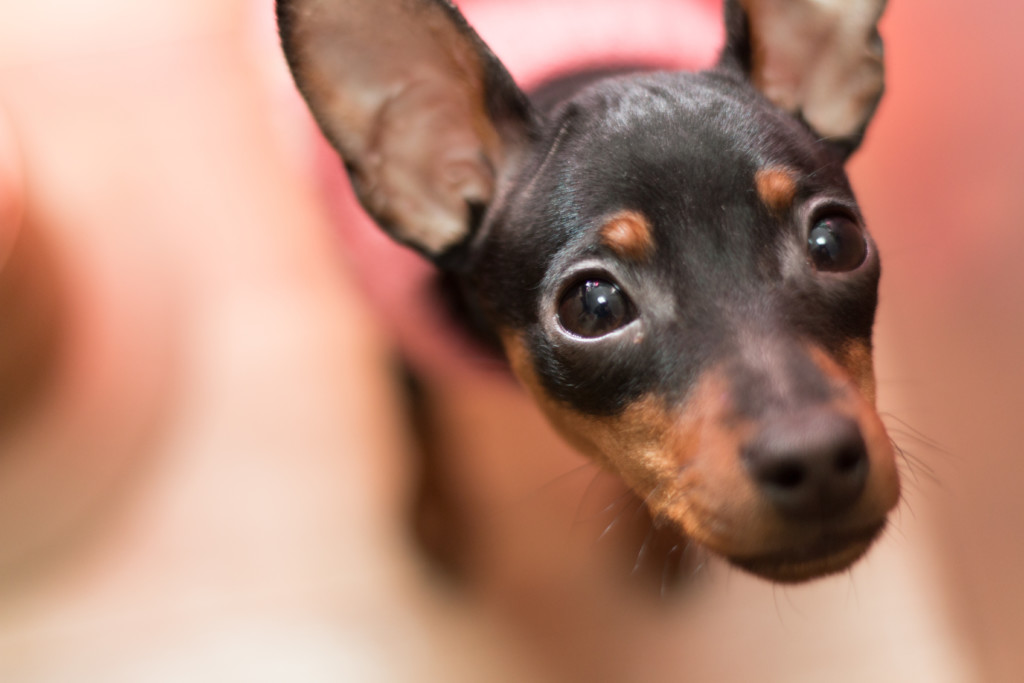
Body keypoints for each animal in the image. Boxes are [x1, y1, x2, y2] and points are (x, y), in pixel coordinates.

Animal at [276, 0, 901, 585]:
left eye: (834, 243)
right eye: (595, 307)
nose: (815, 455)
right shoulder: (403, 345)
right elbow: (425, 435)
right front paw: (435, 516)